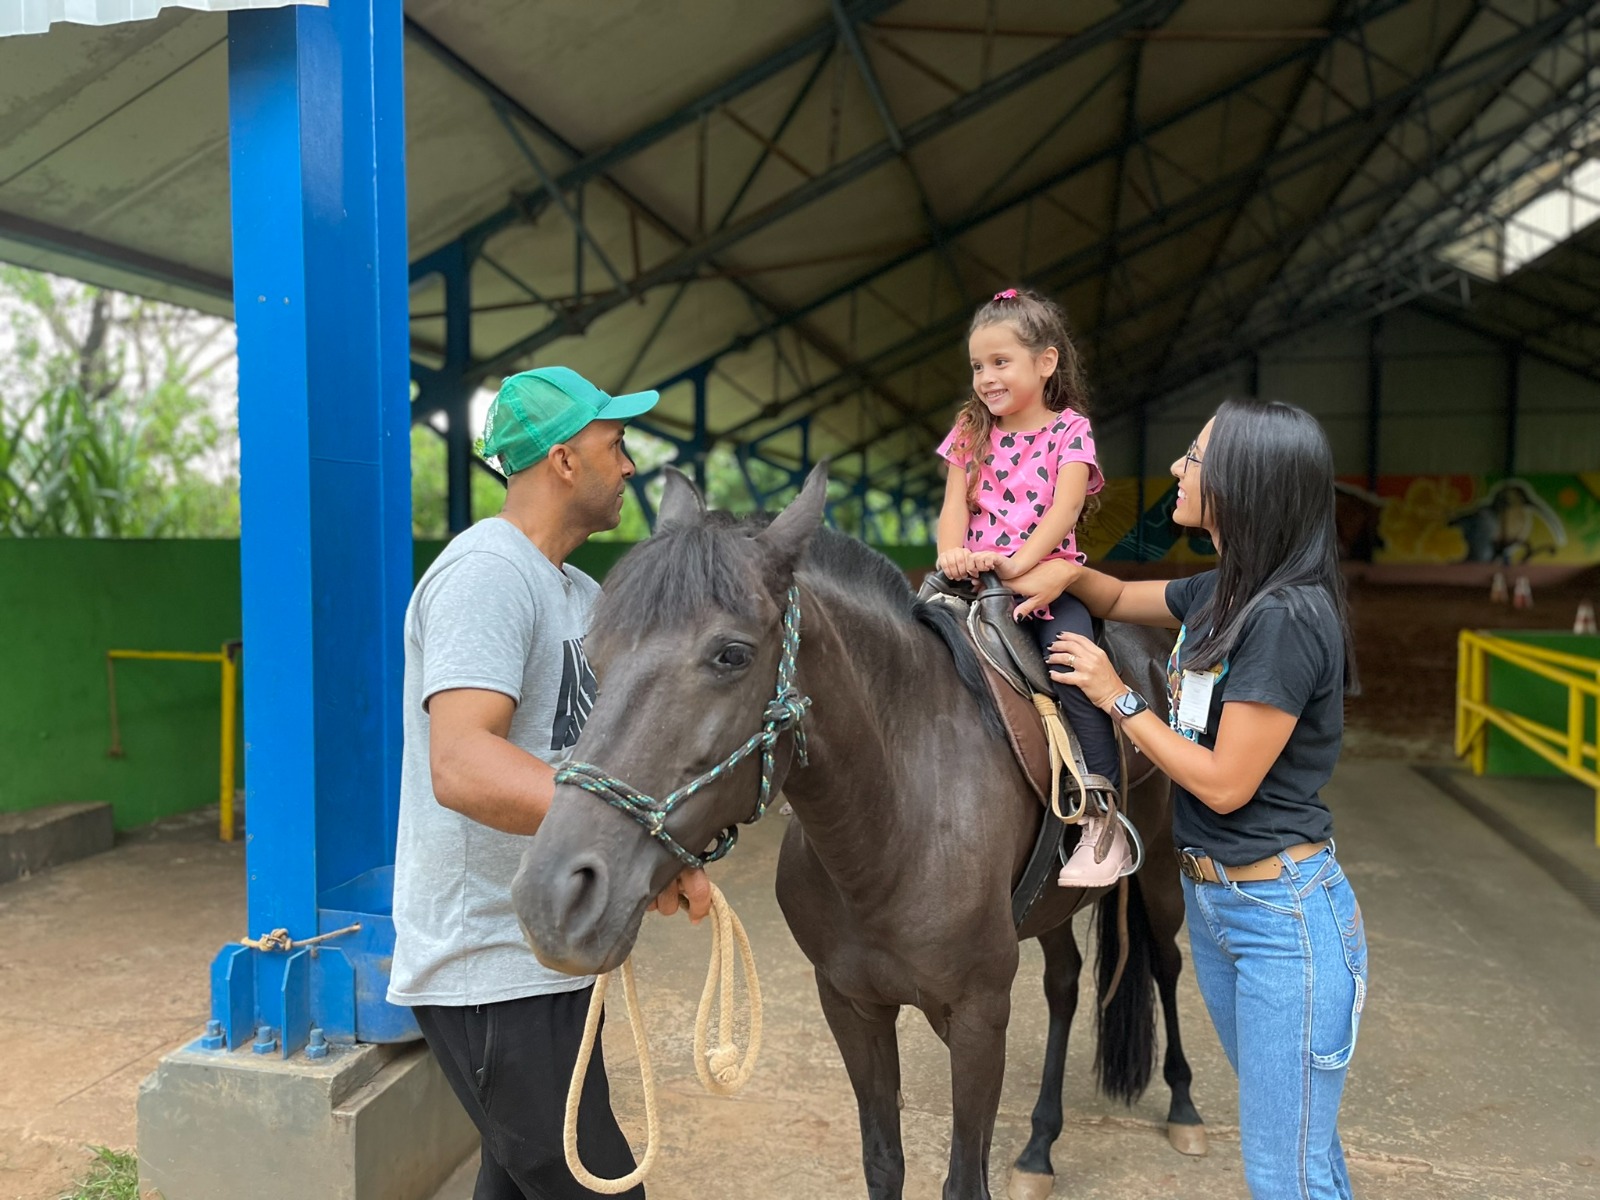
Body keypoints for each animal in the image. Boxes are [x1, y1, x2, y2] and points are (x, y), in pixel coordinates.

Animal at [518, 470, 1203, 1200]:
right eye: (595, 656)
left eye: (732, 655)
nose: (554, 897)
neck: (892, 832)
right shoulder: (851, 1007)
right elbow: (884, 1161)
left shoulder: (979, 1017)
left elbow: (963, 1180)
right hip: (1050, 905)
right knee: (1065, 983)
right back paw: (1039, 1145)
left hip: (1162, 869)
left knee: (1164, 960)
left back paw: (1184, 1107)